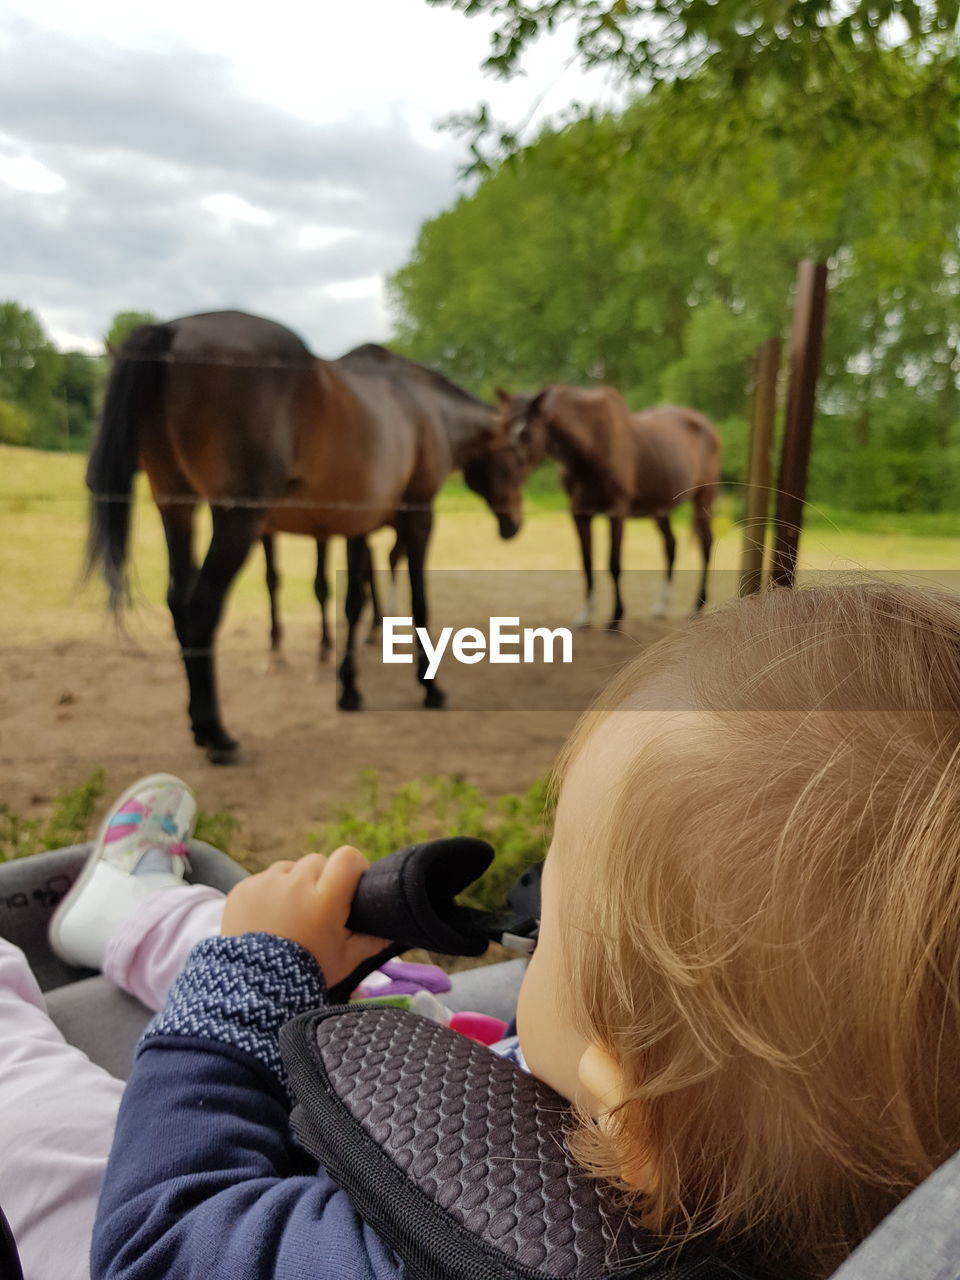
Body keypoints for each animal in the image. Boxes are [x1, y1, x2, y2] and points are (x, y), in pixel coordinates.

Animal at [496, 384, 721, 629]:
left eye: (526, 432)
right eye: (504, 427)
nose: (506, 475)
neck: (591, 447)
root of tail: (706, 425)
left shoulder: (617, 512)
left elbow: (614, 563)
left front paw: (616, 618)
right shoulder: (580, 513)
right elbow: (586, 561)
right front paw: (585, 615)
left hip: (703, 499)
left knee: (706, 545)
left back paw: (697, 606)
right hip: (661, 508)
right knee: (670, 546)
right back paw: (661, 606)